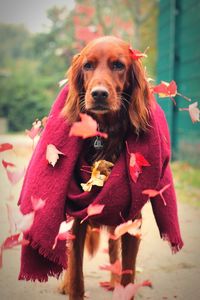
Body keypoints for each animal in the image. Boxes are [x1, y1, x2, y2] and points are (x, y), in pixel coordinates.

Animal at [58, 36, 152, 298]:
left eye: (119, 65)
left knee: (112, 250)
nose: (99, 94)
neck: (105, 134)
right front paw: (70, 285)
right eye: (88, 66)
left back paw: (112, 280)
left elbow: (128, 273)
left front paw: (122, 286)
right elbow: (76, 277)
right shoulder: (76, 221)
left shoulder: (132, 224)